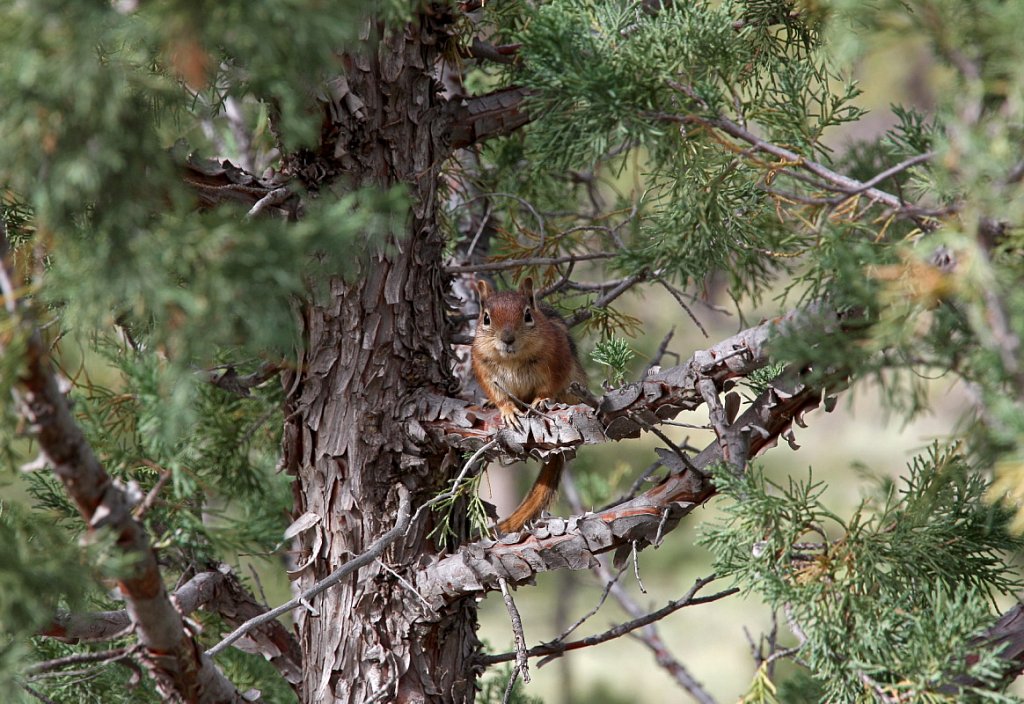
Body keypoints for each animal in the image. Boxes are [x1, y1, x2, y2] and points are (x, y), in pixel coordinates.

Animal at [468, 278, 589, 532]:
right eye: (486, 318)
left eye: (527, 315)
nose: (507, 338)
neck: (512, 359)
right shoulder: (484, 369)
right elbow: (499, 396)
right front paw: (506, 410)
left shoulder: (557, 360)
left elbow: (548, 387)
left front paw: (541, 400)